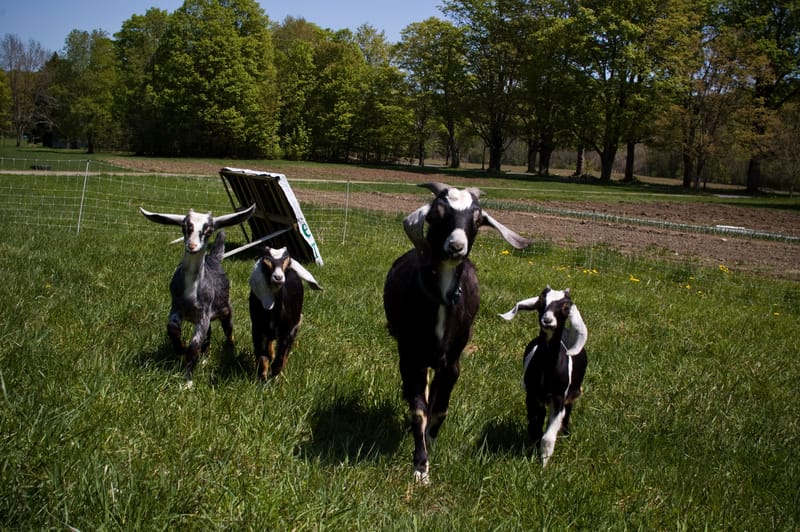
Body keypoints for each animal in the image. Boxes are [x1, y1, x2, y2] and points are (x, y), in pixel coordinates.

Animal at [139, 204, 255, 386]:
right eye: (185, 227)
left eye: (208, 230)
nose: (192, 246)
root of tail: (214, 258)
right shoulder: (176, 307)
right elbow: (172, 328)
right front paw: (180, 349)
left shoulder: (204, 314)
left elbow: (194, 347)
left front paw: (187, 382)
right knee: (208, 336)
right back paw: (205, 359)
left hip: (225, 309)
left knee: (228, 330)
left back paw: (228, 350)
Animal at [252, 247, 324, 380]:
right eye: (266, 259)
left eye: (287, 259)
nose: (278, 277)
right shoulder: (257, 328)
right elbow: (262, 356)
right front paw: (262, 377)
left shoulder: (289, 330)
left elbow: (280, 358)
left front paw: (274, 377)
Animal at [382, 184, 532, 486]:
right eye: (437, 214)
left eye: (477, 219)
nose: (456, 247)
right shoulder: (411, 358)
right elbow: (418, 411)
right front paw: (421, 467)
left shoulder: (452, 363)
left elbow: (439, 409)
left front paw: (430, 444)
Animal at [500, 286, 588, 466]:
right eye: (541, 302)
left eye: (565, 307)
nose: (547, 321)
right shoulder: (532, 395)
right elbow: (535, 426)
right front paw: (534, 452)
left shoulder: (558, 398)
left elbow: (548, 437)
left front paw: (544, 464)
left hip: (572, 394)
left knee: (568, 412)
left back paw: (566, 434)